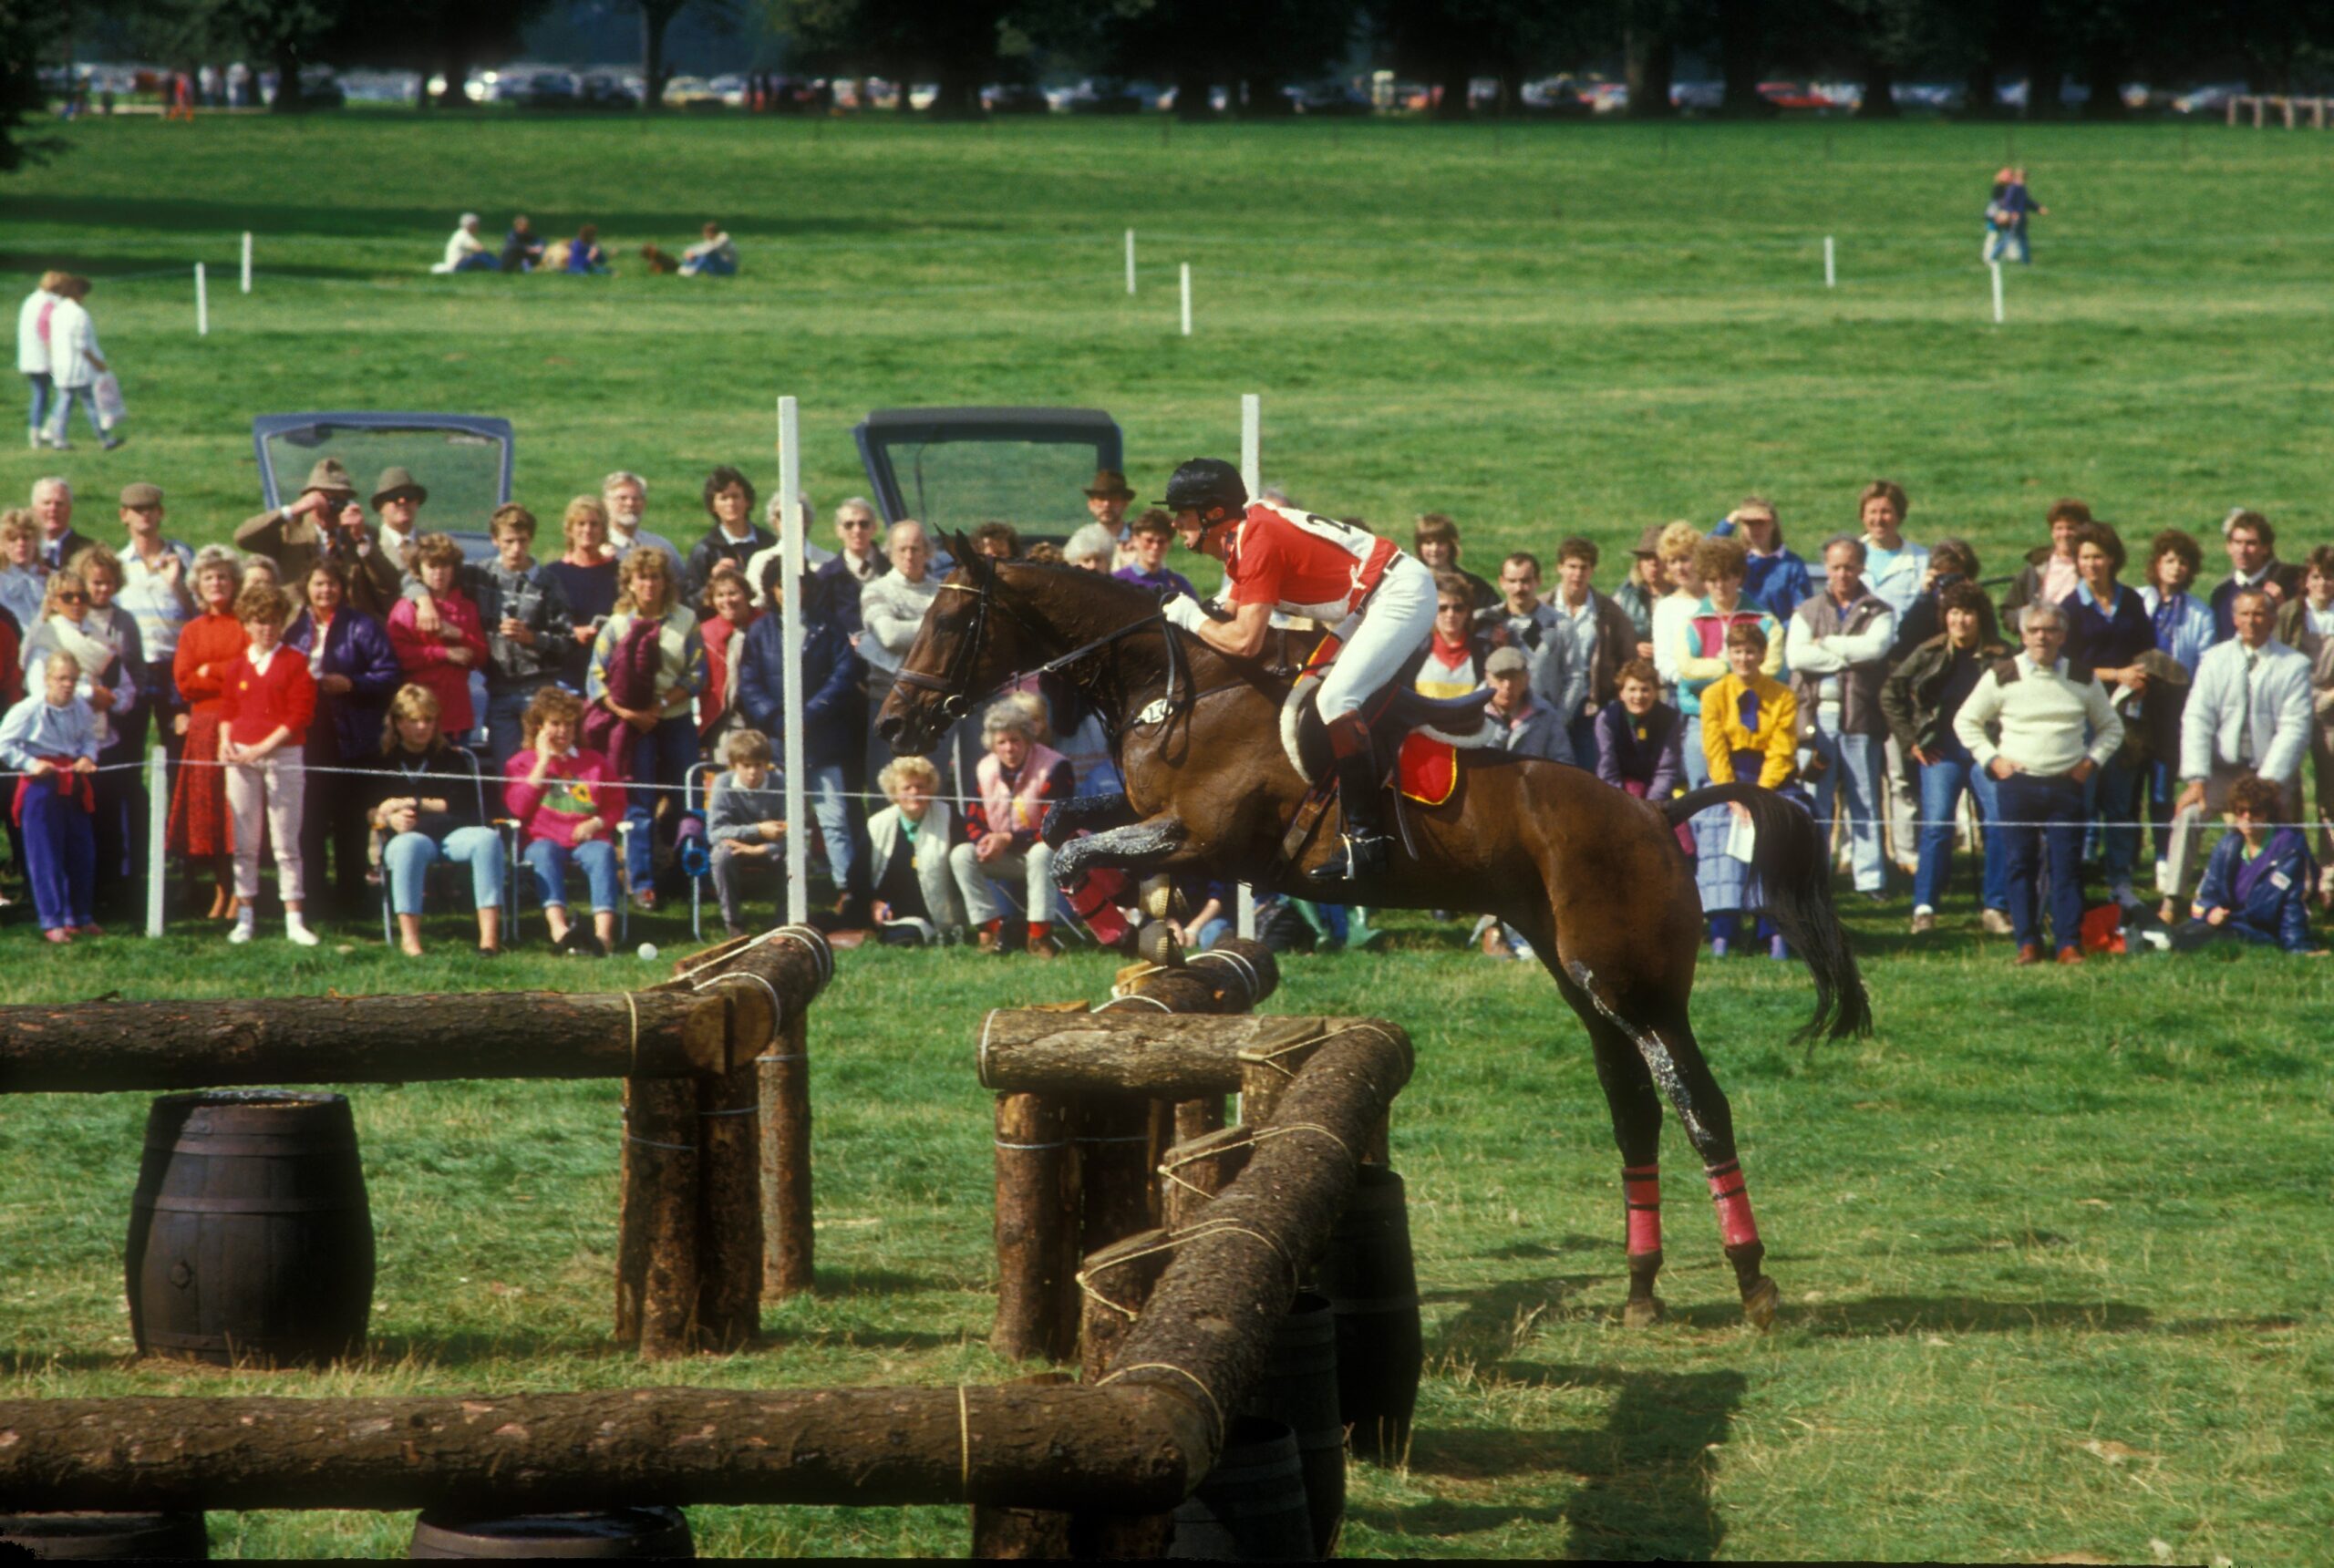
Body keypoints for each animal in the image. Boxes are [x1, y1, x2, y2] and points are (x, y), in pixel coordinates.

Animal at [877, 545, 1870, 1327]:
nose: (891, 721)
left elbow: (1077, 846)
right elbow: (1069, 833)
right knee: (1634, 1107)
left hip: (1629, 980)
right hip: (1583, 981)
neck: (1180, 695)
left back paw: (1753, 1281)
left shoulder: (1209, 837)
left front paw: (1119, 918)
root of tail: (1654, 814)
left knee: (1697, 1101)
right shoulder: (1162, 824)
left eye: (953, 616)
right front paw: (1142, 925)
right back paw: (1640, 1285)